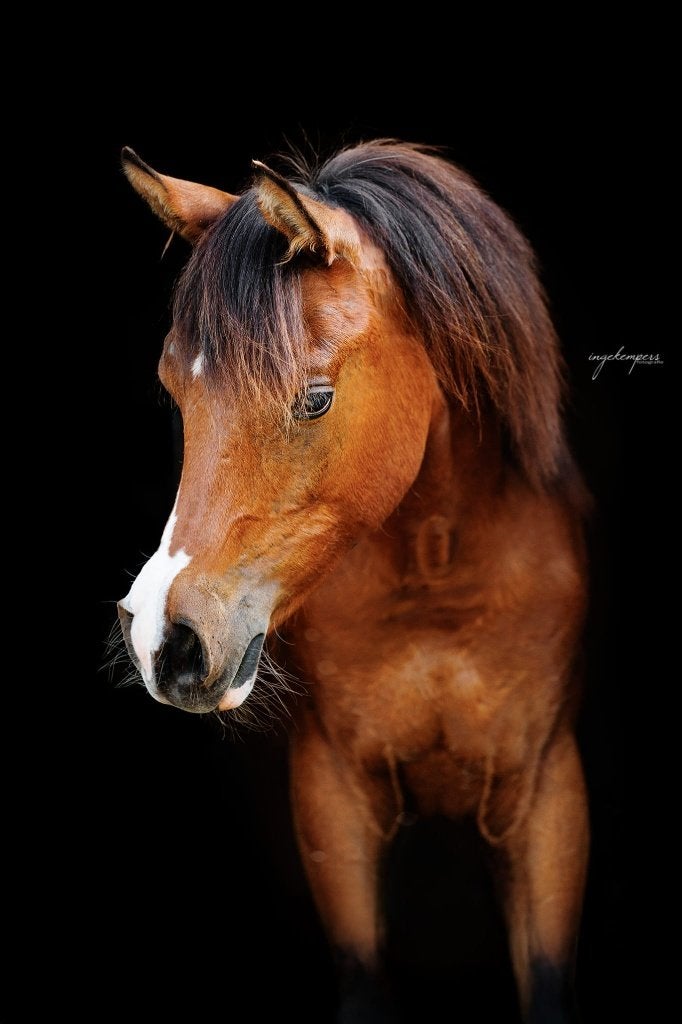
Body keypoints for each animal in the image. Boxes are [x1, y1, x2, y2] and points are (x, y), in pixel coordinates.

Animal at [118, 140, 589, 1022]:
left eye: (314, 399)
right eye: (175, 390)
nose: (167, 640)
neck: (437, 577)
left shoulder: (546, 801)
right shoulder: (333, 803)